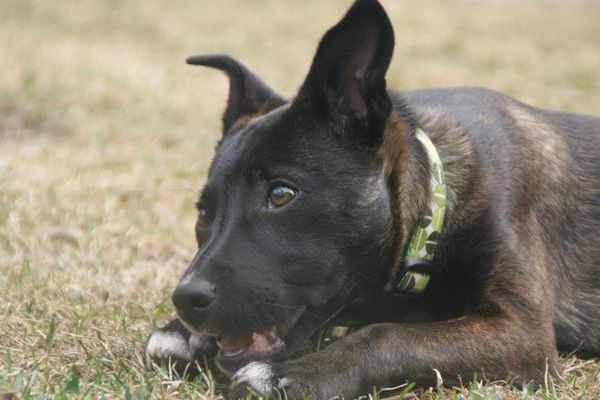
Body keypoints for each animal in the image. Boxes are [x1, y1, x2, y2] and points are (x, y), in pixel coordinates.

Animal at [144, 0, 600, 398]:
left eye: (280, 195)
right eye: (204, 213)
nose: (186, 300)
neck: (437, 203)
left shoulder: (521, 332)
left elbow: (389, 334)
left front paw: (296, 374)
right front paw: (183, 335)